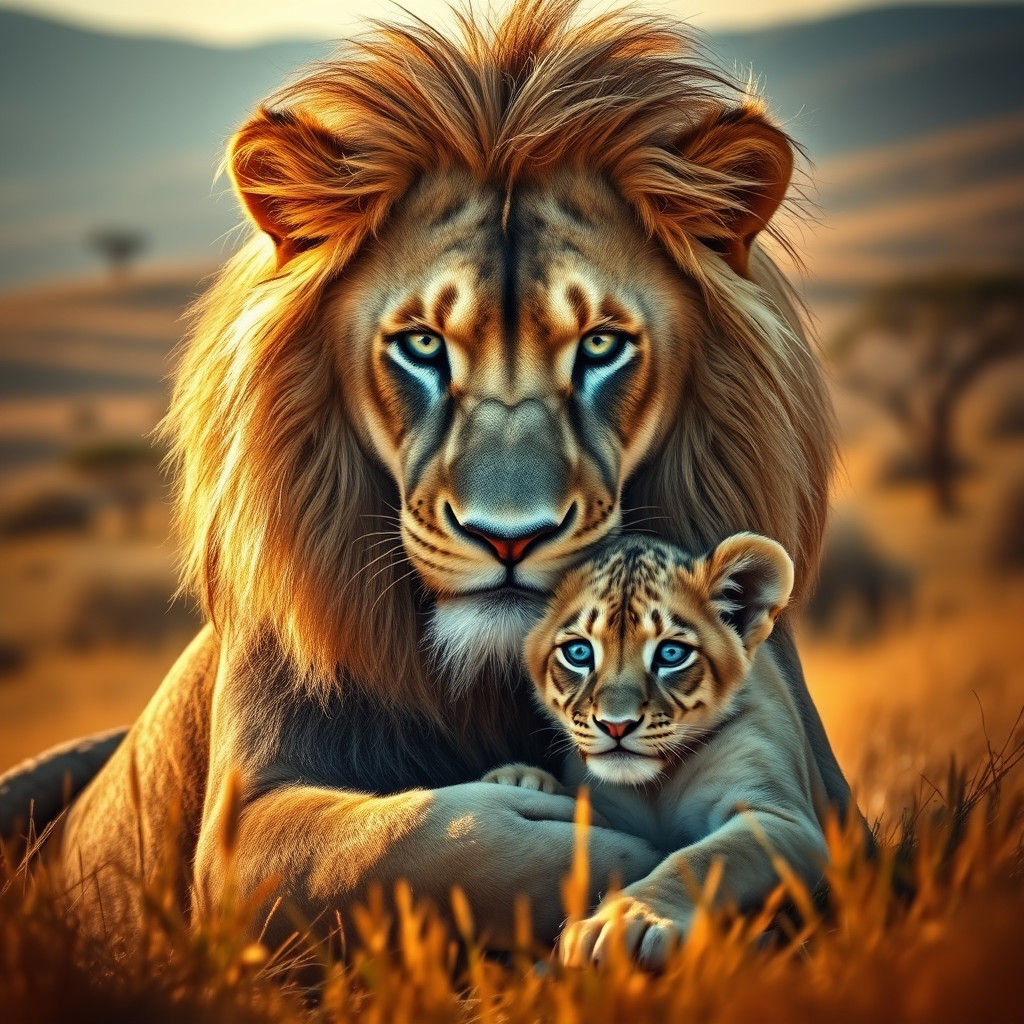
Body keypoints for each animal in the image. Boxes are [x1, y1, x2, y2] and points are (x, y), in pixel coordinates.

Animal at [1, 0, 851, 951]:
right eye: (422, 345)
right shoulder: (237, 837)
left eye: (600, 345)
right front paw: (582, 832)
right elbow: (410, 841)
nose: (510, 538)